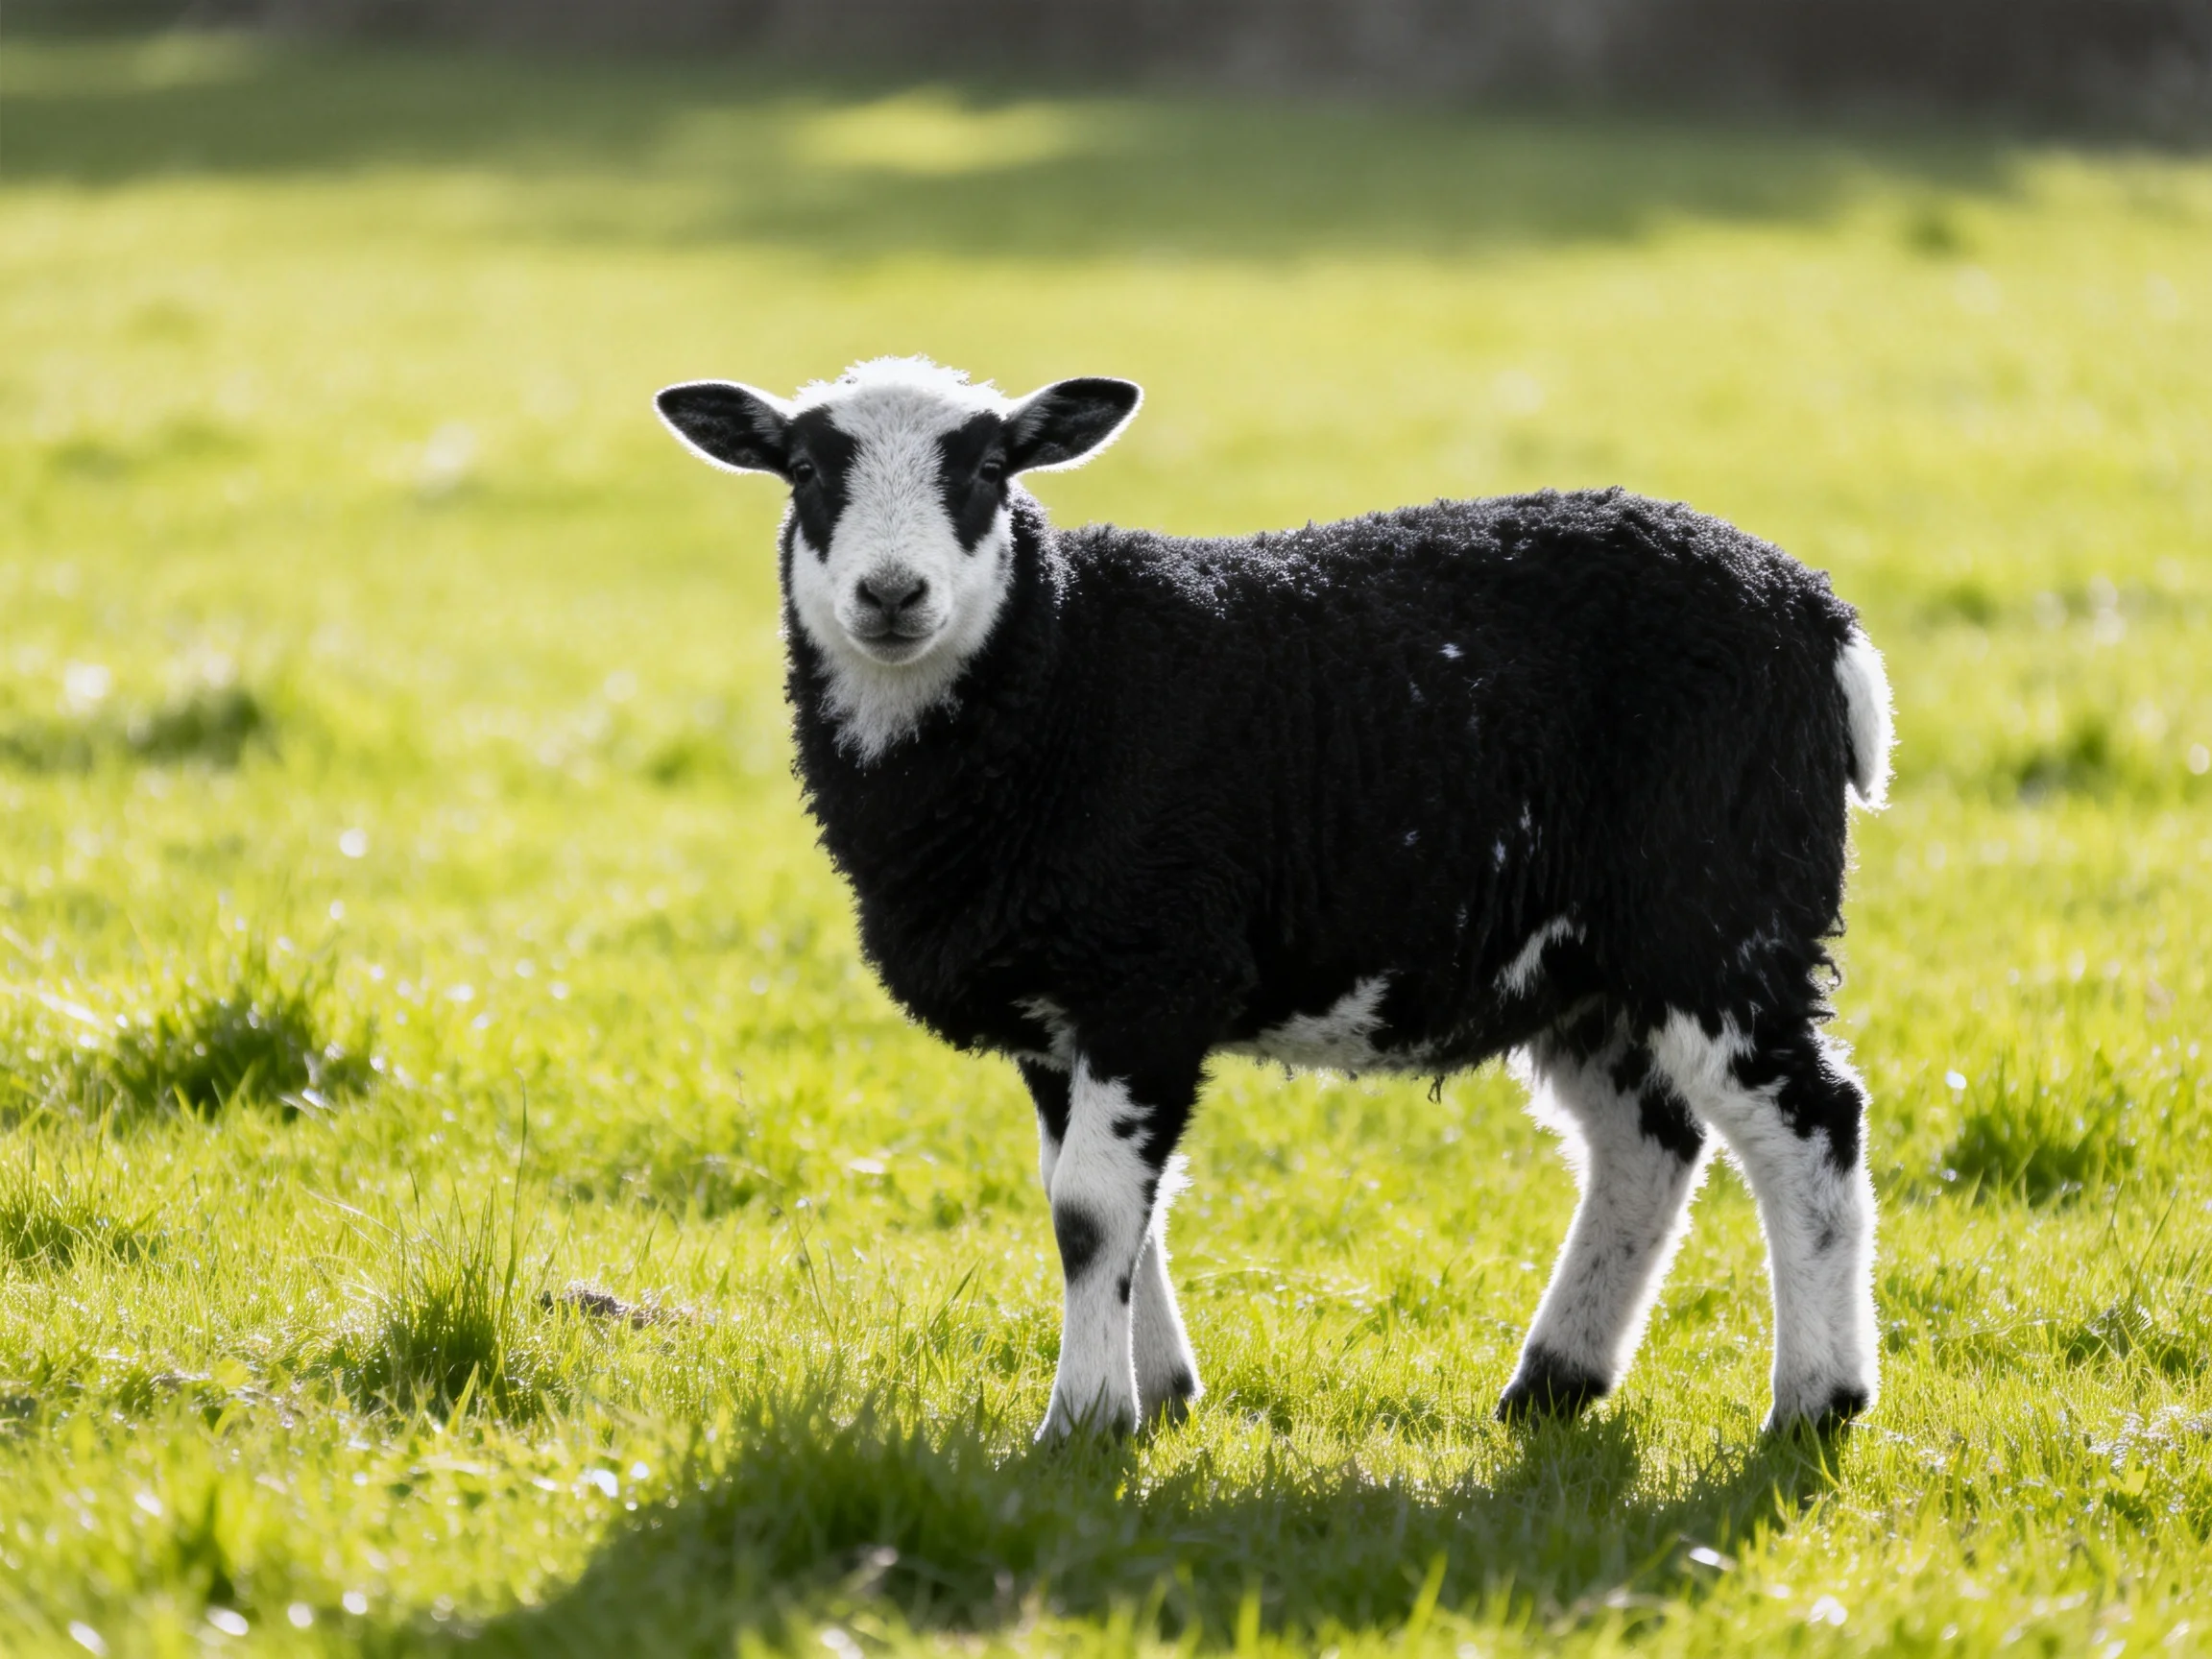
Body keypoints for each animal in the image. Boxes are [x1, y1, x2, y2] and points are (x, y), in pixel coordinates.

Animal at [655, 356, 1894, 1442]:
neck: (1060, 677)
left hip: (1721, 908)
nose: (891, 594)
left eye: (990, 470)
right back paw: (1555, 1382)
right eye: (804, 471)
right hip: (1585, 964)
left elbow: (1089, 1210)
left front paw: (1082, 1422)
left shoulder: (1148, 971)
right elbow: (1103, 1201)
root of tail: (1820, 615)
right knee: (1646, 1142)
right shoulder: (1061, 1007)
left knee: (1809, 1124)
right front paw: (1156, 1394)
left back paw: (1816, 1404)